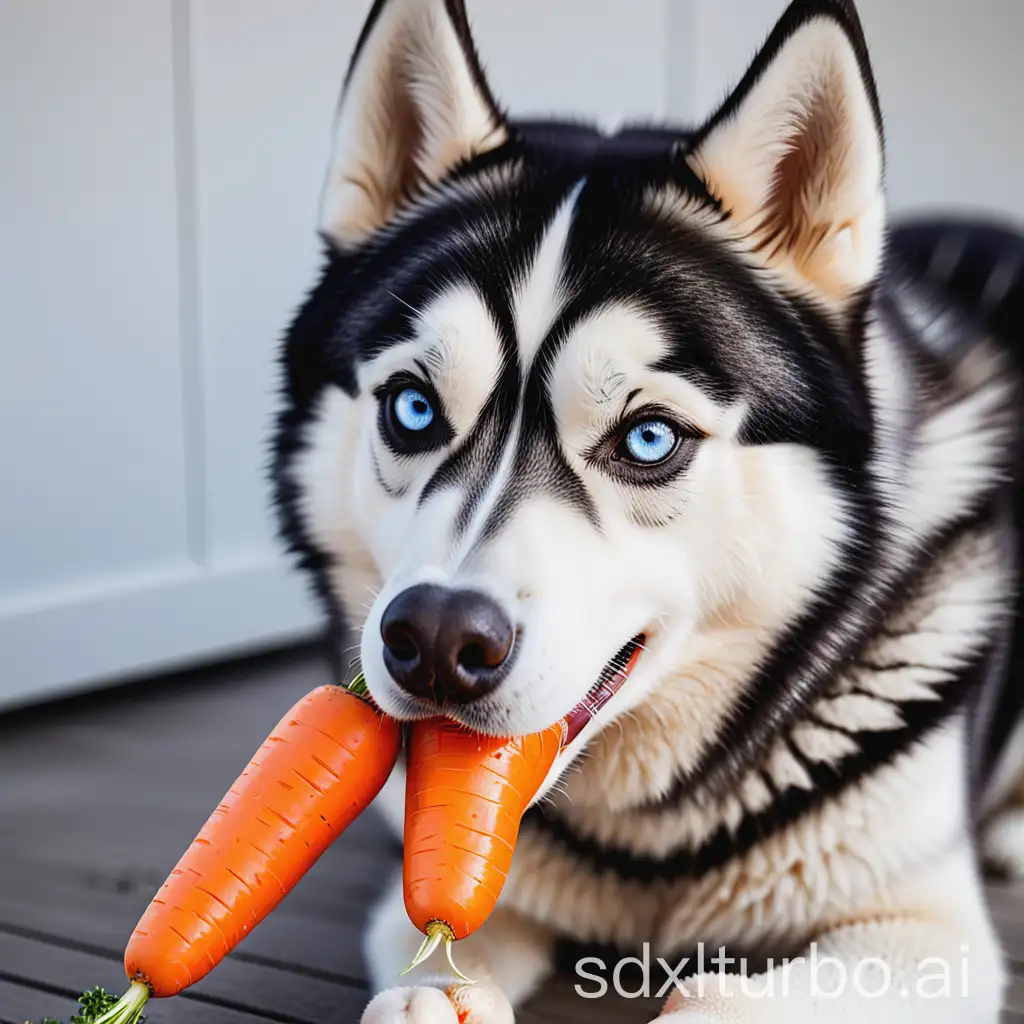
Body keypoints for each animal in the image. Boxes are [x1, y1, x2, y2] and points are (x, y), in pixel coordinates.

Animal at [272, 0, 1024, 1019]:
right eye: (414, 407)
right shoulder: (447, 899)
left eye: (650, 437)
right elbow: (434, 956)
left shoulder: (927, 937)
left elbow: (714, 998)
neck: (645, 852)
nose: (433, 639)